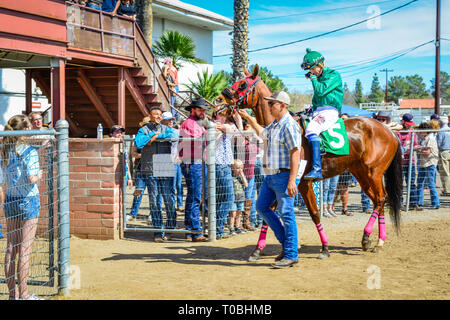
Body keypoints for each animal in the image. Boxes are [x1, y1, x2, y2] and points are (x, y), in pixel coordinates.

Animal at [216, 65, 402, 260]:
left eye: (242, 84)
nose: (218, 100)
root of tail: (389, 131)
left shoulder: (303, 183)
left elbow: (314, 213)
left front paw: (324, 247)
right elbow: (270, 212)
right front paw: (260, 249)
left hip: (374, 173)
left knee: (381, 198)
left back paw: (373, 239)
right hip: (361, 174)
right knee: (378, 200)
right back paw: (373, 239)